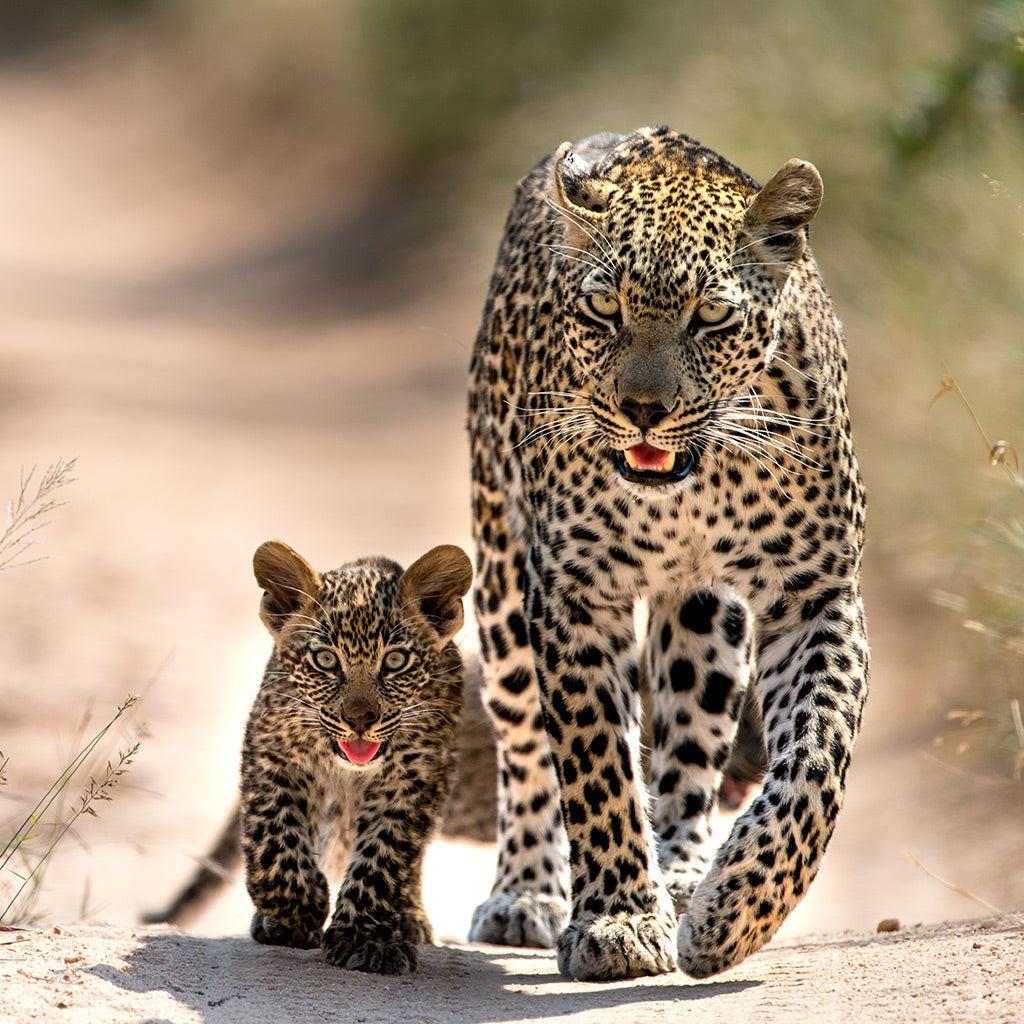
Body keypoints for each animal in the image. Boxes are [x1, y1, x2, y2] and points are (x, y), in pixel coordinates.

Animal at [149, 538, 473, 976]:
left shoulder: (411, 781)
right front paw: (300, 908)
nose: (359, 720)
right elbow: (272, 837)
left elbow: (383, 858)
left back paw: (409, 919)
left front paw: (365, 938)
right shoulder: (271, 757)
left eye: (395, 661)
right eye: (326, 660)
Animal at [467, 126, 869, 982]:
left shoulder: (815, 597)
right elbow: (594, 763)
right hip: (501, 576)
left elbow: (817, 760)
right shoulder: (576, 594)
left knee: (688, 742)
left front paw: (736, 912)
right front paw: (617, 921)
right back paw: (526, 892)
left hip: (705, 612)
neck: (693, 486)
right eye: (603, 307)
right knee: (523, 742)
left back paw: (683, 872)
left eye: (710, 316)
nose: (643, 410)